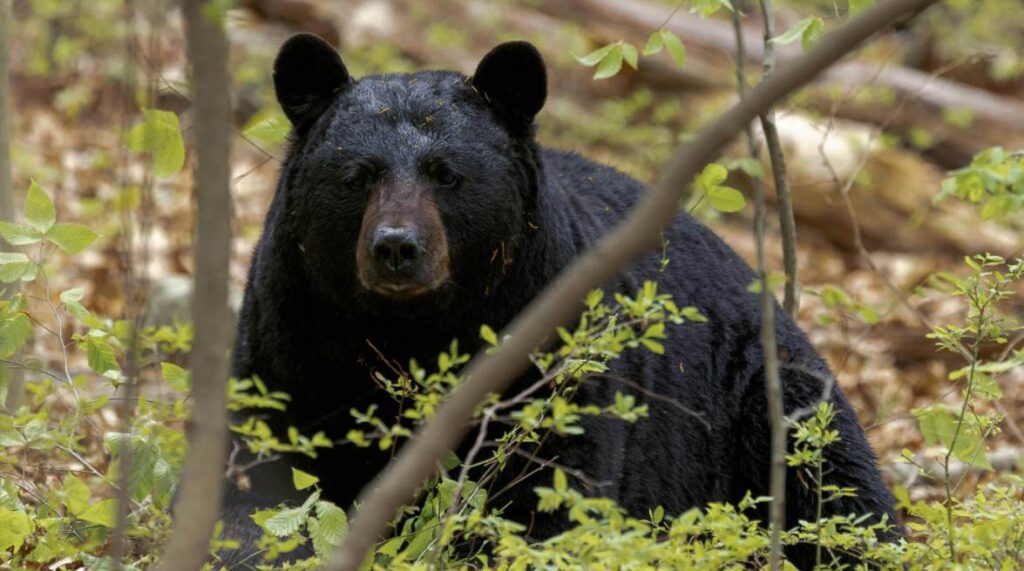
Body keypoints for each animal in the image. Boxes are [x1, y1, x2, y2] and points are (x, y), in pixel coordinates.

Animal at [228, 34, 901, 568]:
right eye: (358, 176)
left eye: (447, 174)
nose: (397, 247)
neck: (411, 330)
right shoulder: (291, 335)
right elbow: (259, 476)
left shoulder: (550, 350)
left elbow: (547, 494)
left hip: (762, 396)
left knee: (839, 491)